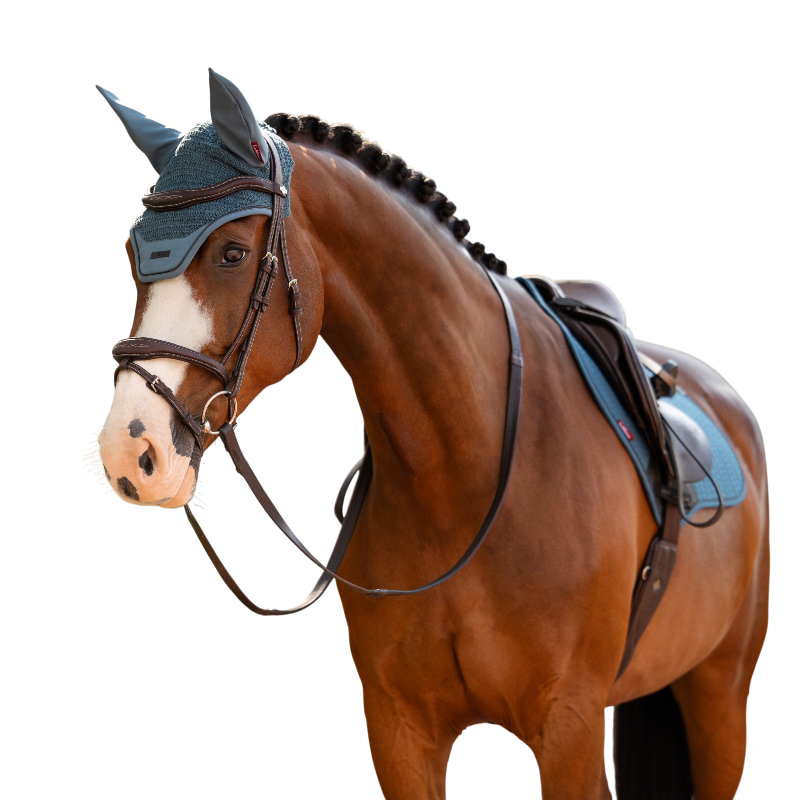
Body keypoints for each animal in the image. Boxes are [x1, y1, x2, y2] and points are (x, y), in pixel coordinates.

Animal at [91, 83, 769, 798]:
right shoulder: (400, 731)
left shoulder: (570, 730)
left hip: (720, 697)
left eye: (232, 253)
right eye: (134, 252)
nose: (130, 451)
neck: (463, 473)